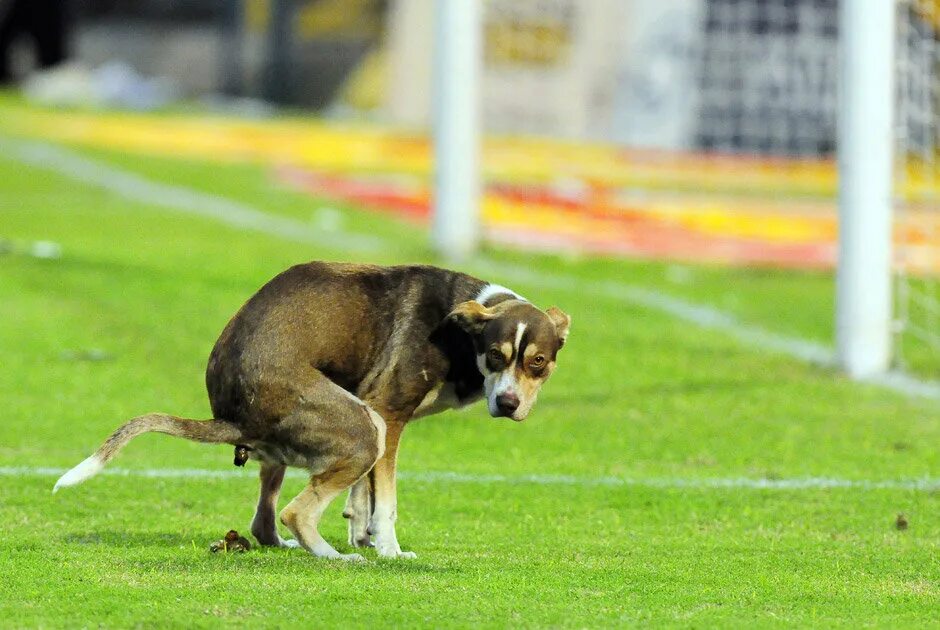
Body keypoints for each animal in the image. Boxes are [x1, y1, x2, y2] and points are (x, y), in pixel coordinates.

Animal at [55, 262, 568, 564]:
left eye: (538, 362)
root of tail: (234, 416)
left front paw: (361, 532)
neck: (465, 328)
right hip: (362, 428)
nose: (508, 404)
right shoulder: (387, 416)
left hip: (301, 449)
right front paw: (388, 550)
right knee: (294, 513)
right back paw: (332, 556)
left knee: (264, 523)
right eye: (496, 356)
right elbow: (387, 504)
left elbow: (364, 497)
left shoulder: (380, 423)